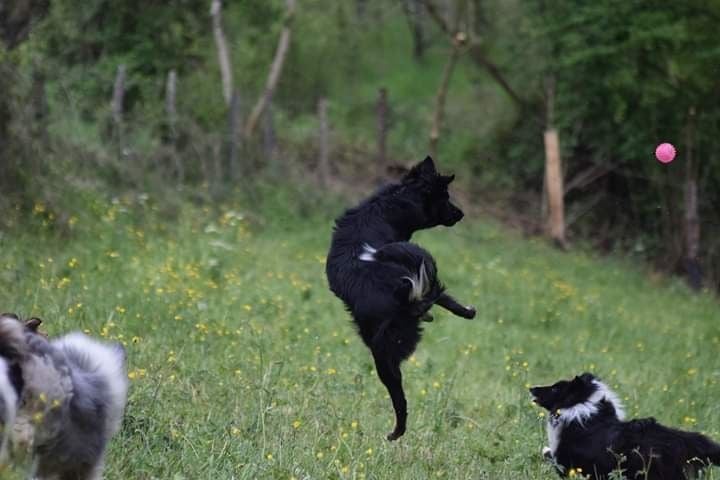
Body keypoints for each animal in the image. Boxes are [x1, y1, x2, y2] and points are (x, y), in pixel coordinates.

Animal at [324, 157, 476, 438]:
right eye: (446, 197)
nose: (461, 214)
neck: (388, 206)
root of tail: (401, 295)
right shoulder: (424, 273)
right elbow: (443, 293)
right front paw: (467, 310)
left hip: (383, 355)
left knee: (399, 399)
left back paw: (395, 432)